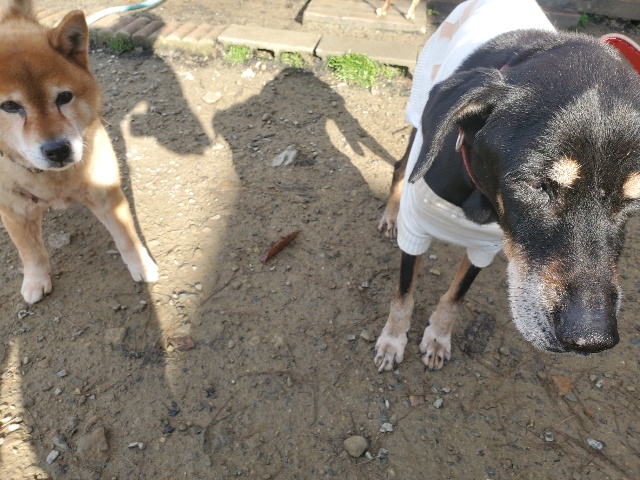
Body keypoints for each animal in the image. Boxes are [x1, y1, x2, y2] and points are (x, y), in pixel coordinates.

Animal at [0, 0, 158, 304]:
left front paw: (141, 265)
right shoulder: (14, 211)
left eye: (64, 97)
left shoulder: (106, 195)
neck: (53, 180)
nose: (58, 149)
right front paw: (36, 281)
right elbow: (31, 252)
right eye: (10, 106)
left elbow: (127, 237)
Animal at [375, 0, 640, 372]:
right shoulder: (416, 231)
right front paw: (393, 340)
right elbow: (403, 294)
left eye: (634, 201)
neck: (481, 200)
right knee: (402, 166)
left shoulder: (485, 247)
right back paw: (390, 214)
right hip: (421, 117)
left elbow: (456, 296)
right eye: (536, 184)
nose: (592, 339)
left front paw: (439, 337)